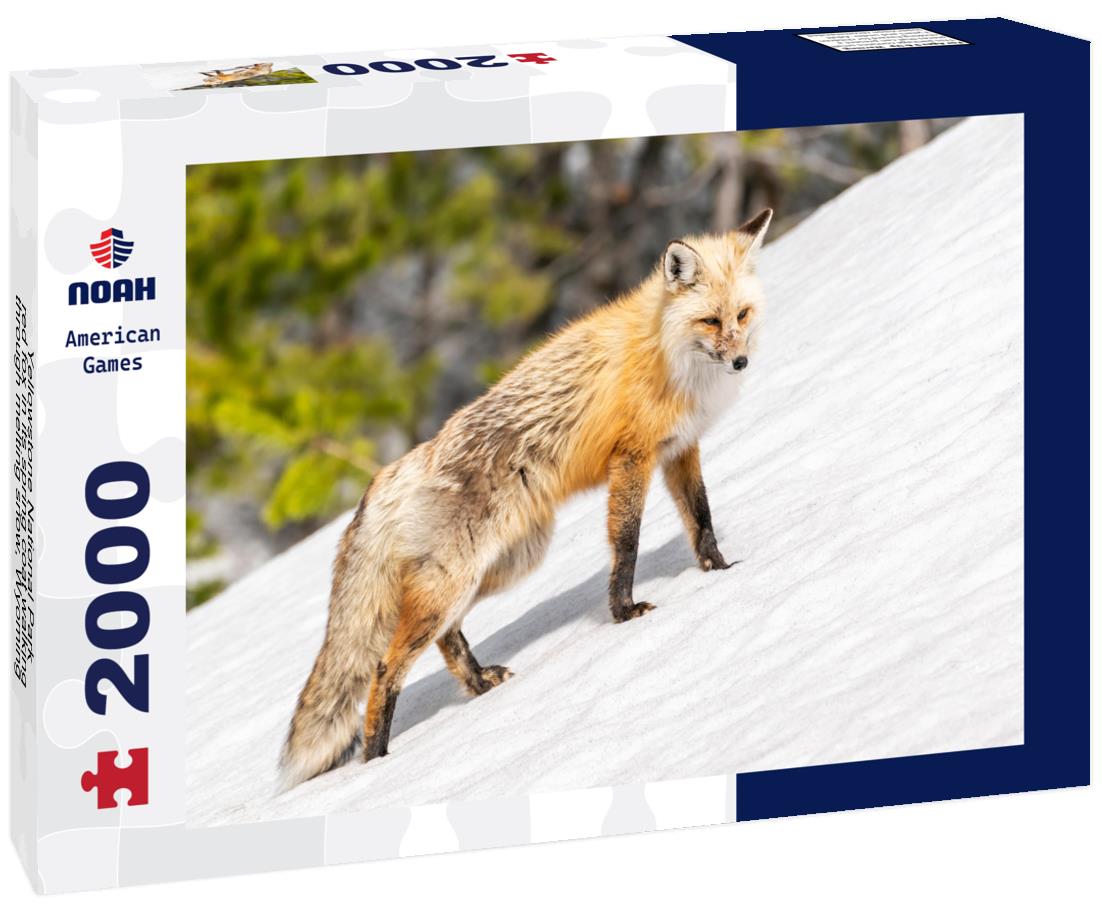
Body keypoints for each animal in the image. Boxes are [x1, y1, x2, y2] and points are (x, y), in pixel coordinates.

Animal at [279, 208, 773, 788]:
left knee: (446, 638)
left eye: (741, 314)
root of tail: (389, 475)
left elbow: (701, 519)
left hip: (501, 565)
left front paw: (719, 570)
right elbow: (626, 543)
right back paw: (376, 760)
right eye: (710, 322)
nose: (739, 362)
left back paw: (479, 685)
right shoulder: (631, 458)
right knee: (383, 666)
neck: (666, 351)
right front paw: (624, 613)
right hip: (462, 577)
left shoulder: (678, 449)